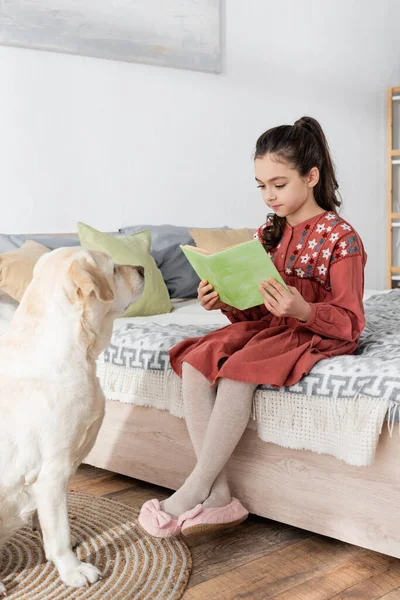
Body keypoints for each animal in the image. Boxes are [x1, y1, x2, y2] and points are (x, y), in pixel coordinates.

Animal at [0, 245, 144, 592]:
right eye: (114, 269)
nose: (144, 269)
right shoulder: (53, 472)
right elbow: (59, 532)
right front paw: (73, 570)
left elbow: (50, 523)